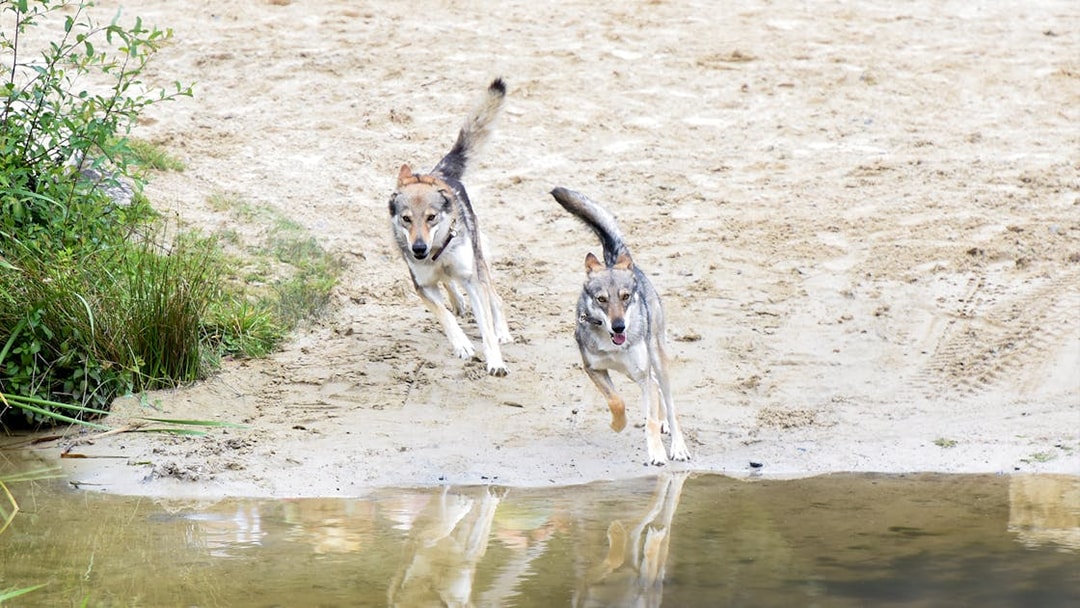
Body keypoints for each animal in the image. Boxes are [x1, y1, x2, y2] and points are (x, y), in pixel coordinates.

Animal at [387, 78, 511, 376]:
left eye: (431, 217)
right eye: (406, 219)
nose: (418, 249)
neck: (437, 252)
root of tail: (440, 174)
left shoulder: (472, 279)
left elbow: (486, 328)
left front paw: (495, 361)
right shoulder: (422, 286)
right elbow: (443, 315)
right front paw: (462, 345)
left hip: (480, 264)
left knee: (496, 299)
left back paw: (503, 331)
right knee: (448, 285)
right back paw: (457, 302)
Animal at [550, 187, 690, 465]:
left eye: (625, 297)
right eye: (601, 299)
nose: (619, 327)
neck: (611, 344)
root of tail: (617, 259)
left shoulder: (640, 374)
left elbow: (649, 419)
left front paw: (657, 453)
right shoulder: (593, 369)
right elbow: (616, 401)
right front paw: (618, 424)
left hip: (656, 359)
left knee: (668, 402)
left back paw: (677, 445)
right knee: (656, 391)